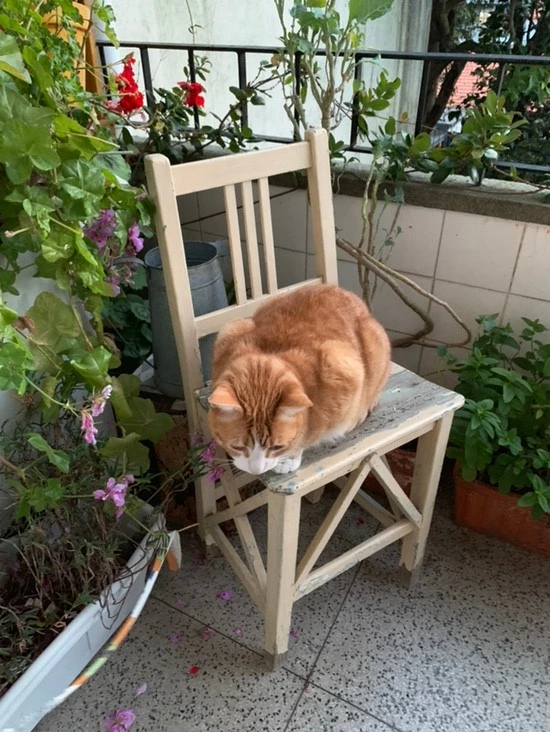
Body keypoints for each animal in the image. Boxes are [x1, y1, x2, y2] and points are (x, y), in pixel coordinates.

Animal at [207, 283, 391, 475]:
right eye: (237, 447)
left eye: (277, 447)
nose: (257, 471)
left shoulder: (343, 367)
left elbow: (308, 434)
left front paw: (290, 457)